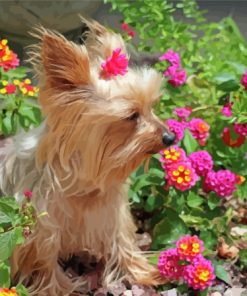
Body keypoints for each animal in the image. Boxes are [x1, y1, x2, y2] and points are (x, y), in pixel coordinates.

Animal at [0, 19, 174, 294]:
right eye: (131, 116)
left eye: (152, 107)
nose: (170, 137)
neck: (84, 184)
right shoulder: (41, 227)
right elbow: (43, 261)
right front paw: (57, 289)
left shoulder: (112, 213)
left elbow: (122, 241)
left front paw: (142, 272)